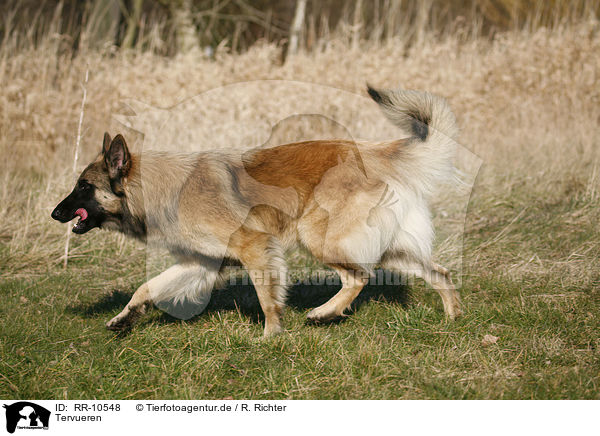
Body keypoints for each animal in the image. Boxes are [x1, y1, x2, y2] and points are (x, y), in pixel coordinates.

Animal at [52, 86, 464, 338]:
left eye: (84, 186)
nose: (55, 213)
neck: (162, 189)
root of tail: (375, 151)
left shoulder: (255, 247)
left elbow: (267, 299)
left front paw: (270, 338)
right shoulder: (199, 263)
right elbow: (147, 287)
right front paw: (124, 318)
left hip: (319, 237)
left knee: (359, 276)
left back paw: (324, 312)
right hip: (392, 248)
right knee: (439, 273)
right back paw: (453, 318)